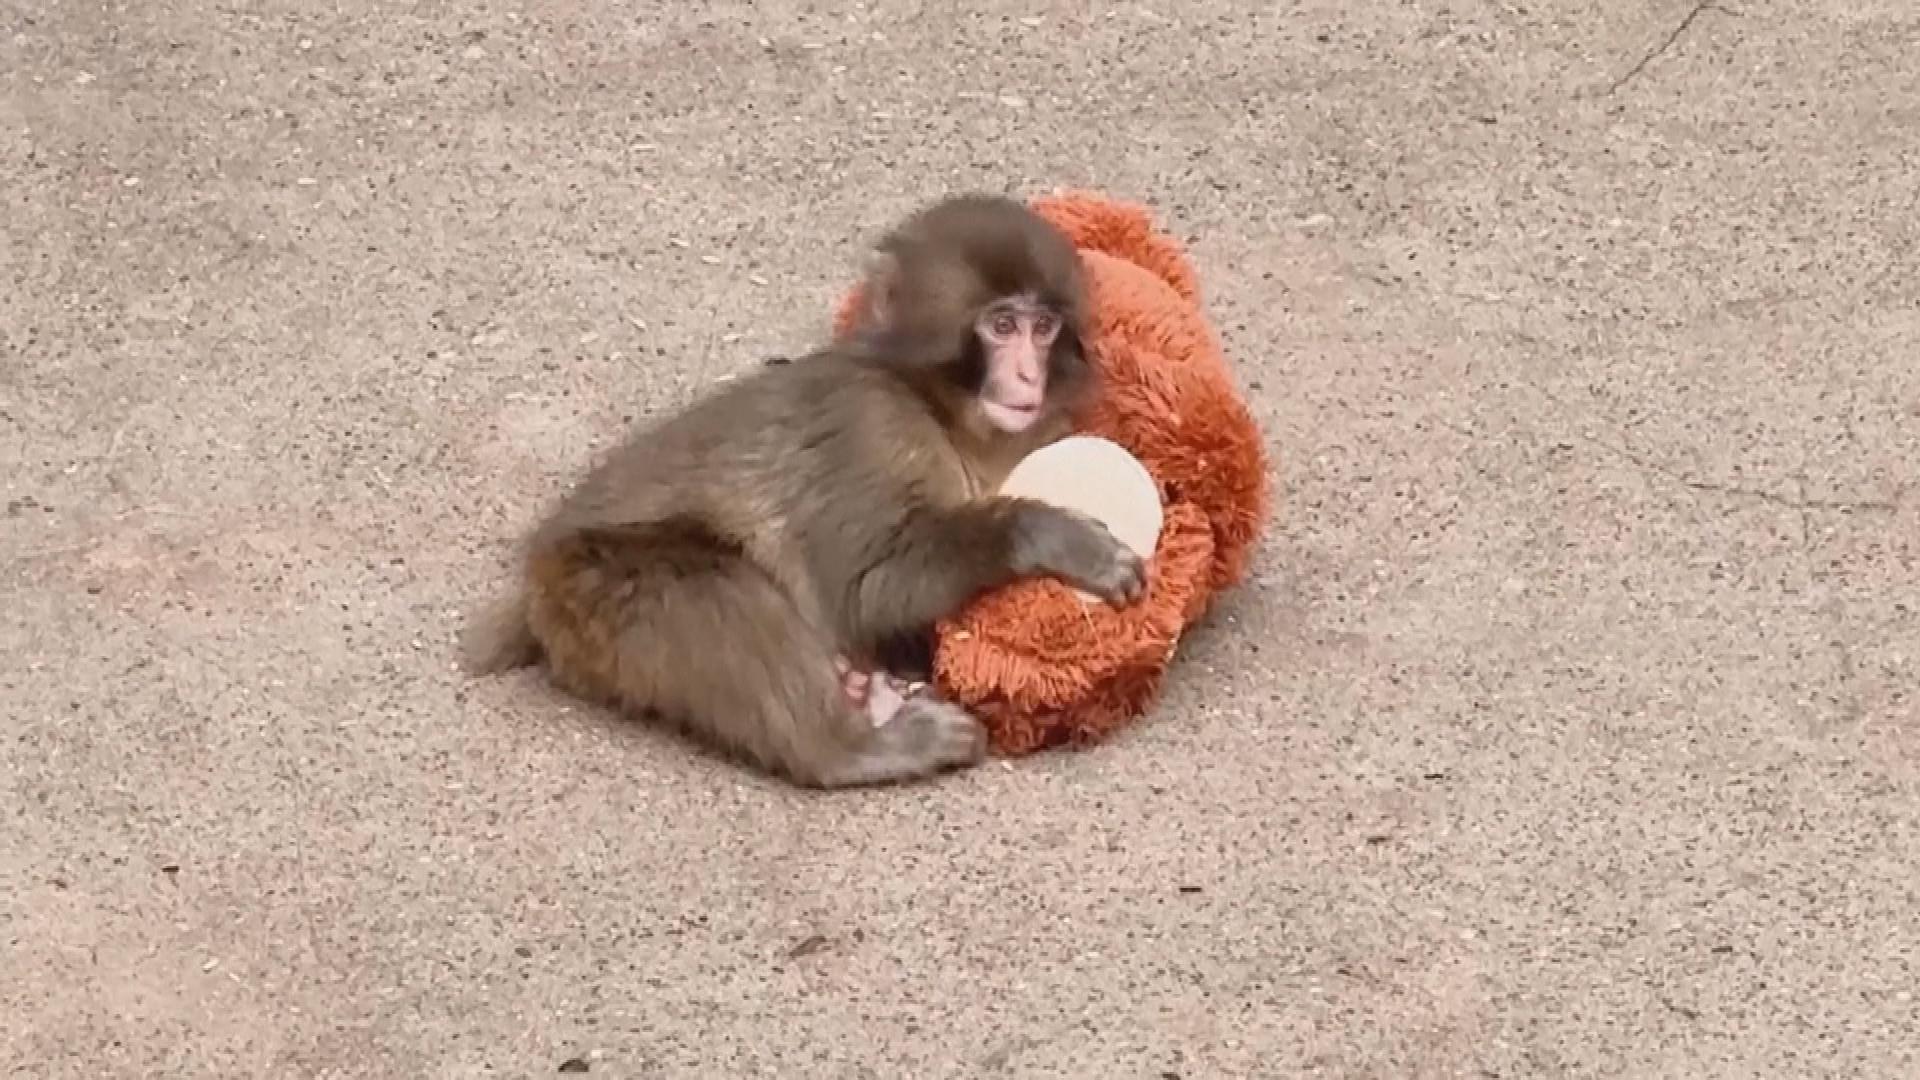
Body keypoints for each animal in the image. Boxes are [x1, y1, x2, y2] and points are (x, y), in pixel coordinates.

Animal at [461, 193, 1146, 788]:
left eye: (1043, 327)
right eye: (1002, 326)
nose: (1028, 374)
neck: (940, 410)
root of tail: (531, 591)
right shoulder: (870, 425)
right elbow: (867, 588)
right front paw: (1052, 536)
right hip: (589, 592)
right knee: (717, 592)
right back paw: (854, 748)